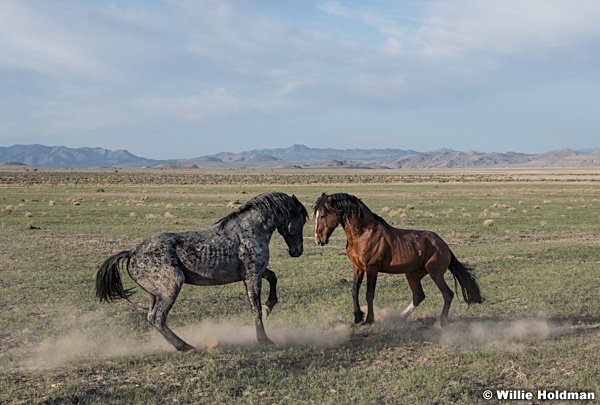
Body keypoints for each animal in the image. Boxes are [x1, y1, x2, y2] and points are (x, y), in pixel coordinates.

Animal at [97, 191, 310, 348]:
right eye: (302, 220)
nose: (297, 251)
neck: (251, 229)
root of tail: (132, 252)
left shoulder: (256, 271)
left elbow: (273, 278)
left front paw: (269, 306)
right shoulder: (252, 276)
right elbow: (255, 307)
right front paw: (264, 339)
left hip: (154, 294)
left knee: (151, 317)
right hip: (171, 288)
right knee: (158, 318)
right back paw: (185, 346)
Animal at [314, 192, 482, 326]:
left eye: (323, 215)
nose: (318, 240)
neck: (363, 233)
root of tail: (444, 246)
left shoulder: (372, 268)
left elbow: (369, 294)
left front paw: (368, 320)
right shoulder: (357, 267)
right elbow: (354, 291)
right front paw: (357, 318)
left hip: (435, 273)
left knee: (447, 294)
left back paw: (441, 322)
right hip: (413, 274)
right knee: (419, 296)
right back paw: (400, 317)